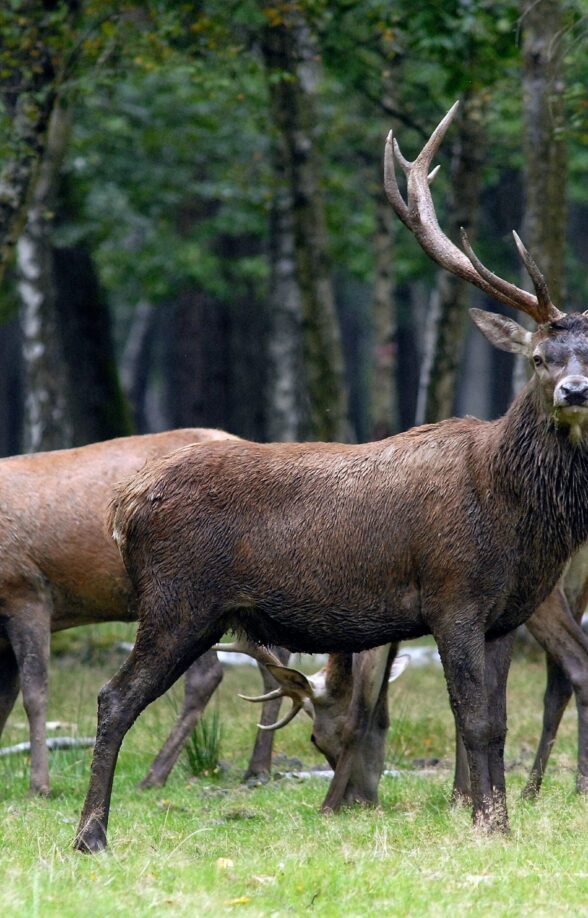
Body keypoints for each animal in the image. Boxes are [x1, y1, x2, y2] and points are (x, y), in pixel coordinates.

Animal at [75, 102, 588, 853]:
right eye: (540, 357)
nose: (576, 390)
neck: (516, 516)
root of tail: (125, 506)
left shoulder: (503, 616)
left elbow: (491, 726)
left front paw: (496, 823)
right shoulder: (453, 594)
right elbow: (474, 720)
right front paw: (486, 825)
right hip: (175, 601)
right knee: (114, 697)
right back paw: (91, 835)